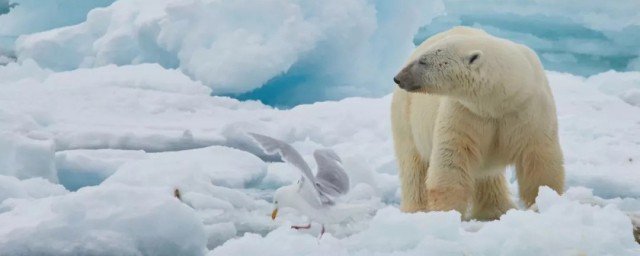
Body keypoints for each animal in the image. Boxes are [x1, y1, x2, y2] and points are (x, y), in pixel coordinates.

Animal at [390, 26, 564, 220]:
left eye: (423, 61)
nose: (398, 78)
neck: (498, 101)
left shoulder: (527, 110)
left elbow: (539, 159)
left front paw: (545, 201)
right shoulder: (465, 112)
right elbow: (452, 160)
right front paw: (447, 213)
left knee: (487, 176)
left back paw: (497, 210)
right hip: (406, 118)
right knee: (413, 166)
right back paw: (416, 210)